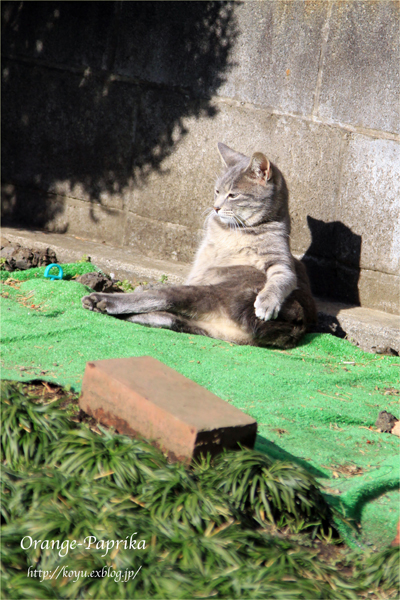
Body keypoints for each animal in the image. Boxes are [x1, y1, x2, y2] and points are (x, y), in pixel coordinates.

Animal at [82, 144, 316, 350]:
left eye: (233, 195)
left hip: (211, 293)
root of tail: (296, 321)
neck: (234, 230)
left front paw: (266, 303)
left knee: (161, 298)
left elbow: (282, 277)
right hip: (206, 327)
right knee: (168, 317)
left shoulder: (279, 259)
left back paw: (100, 300)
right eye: (217, 191)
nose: (216, 207)